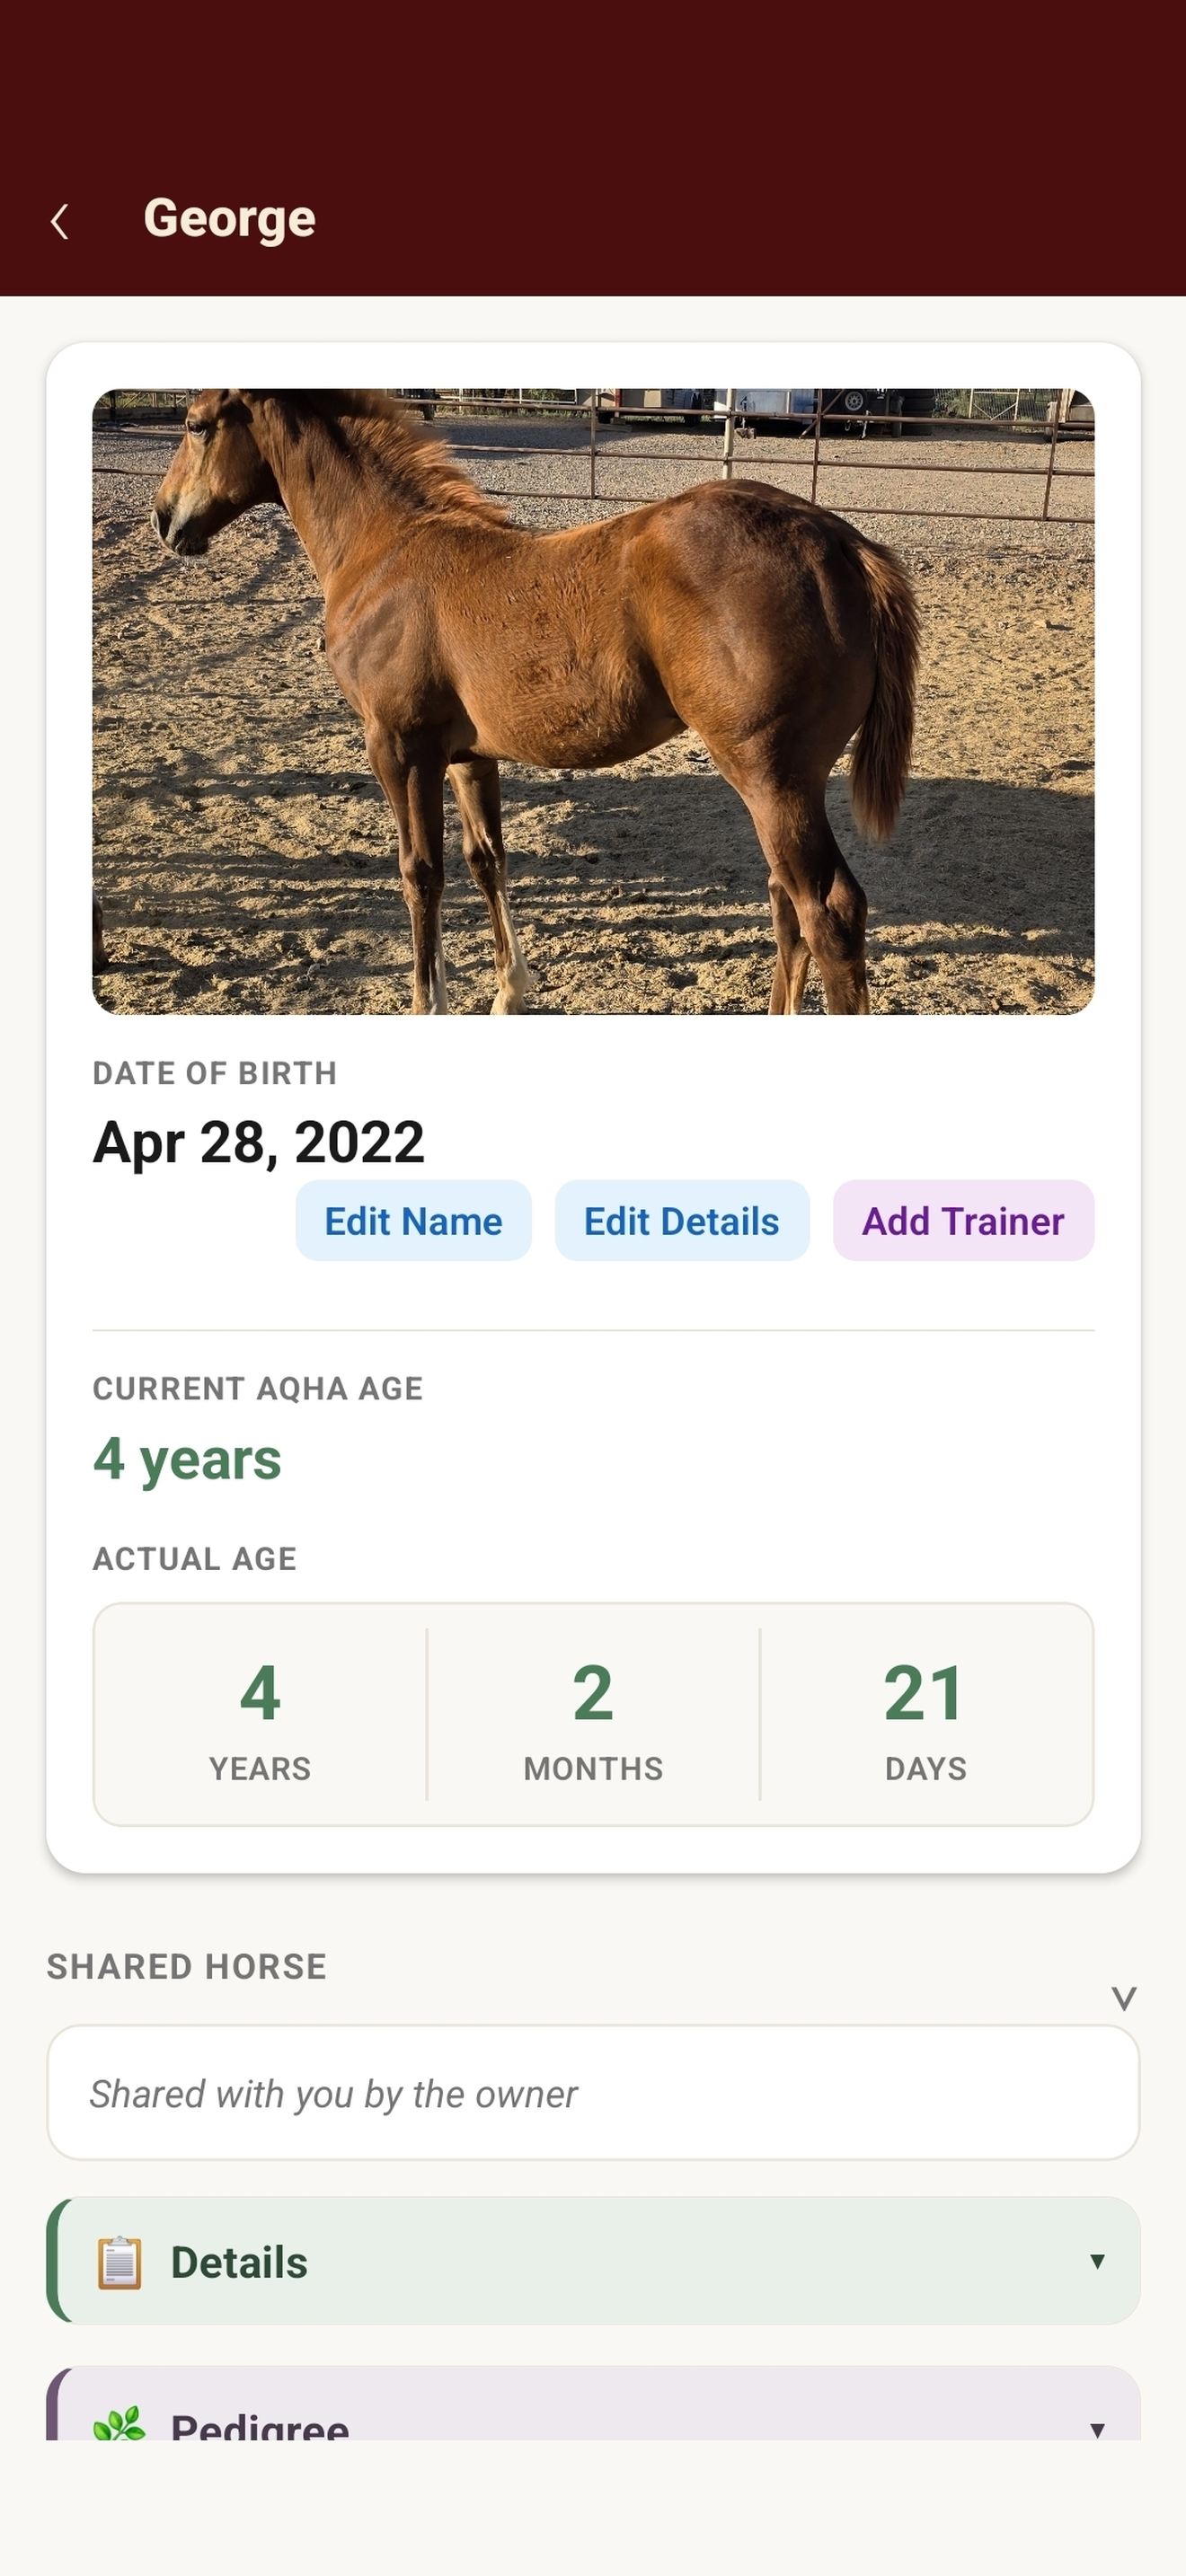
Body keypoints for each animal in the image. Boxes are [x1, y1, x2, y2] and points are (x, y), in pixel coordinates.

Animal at [146, 390, 919, 1015]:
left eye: (195, 424)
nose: (163, 519)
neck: (385, 553)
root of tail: (842, 545)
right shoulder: (466, 754)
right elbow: (486, 858)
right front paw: (509, 991)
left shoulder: (397, 746)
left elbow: (420, 874)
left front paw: (429, 1005)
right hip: (781, 784)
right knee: (787, 901)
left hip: (771, 776)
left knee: (827, 910)